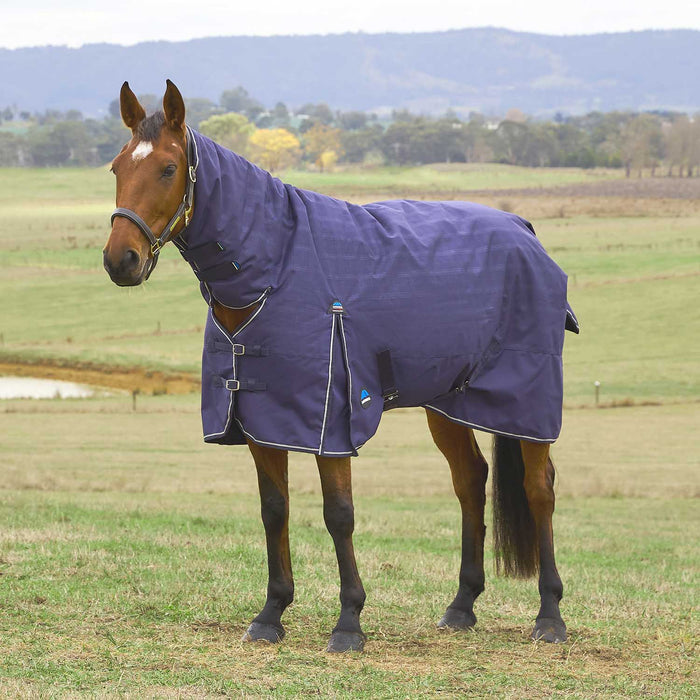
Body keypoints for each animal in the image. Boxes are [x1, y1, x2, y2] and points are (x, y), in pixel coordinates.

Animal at [103, 80, 576, 653]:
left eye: (168, 168)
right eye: (116, 167)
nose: (120, 260)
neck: (276, 266)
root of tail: (525, 231)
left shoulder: (330, 420)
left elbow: (339, 514)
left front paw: (349, 621)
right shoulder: (262, 418)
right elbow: (274, 509)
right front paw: (271, 613)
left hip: (527, 401)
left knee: (539, 488)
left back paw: (549, 616)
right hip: (447, 402)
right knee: (470, 481)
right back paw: (462, 605)